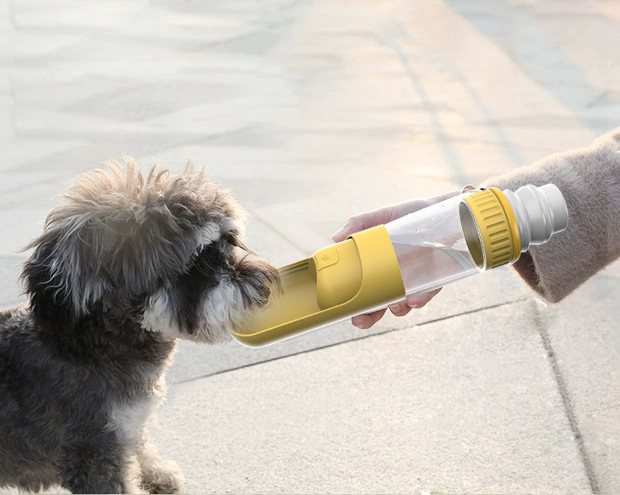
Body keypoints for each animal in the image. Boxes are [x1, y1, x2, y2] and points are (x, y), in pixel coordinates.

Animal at [0, 161, 278, 494]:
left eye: (229, 241)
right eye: (197, 262)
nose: (264, 290)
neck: (96, 348)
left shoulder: (126, 428)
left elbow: (140, 444)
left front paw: (158, 472)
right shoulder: (92, 452)